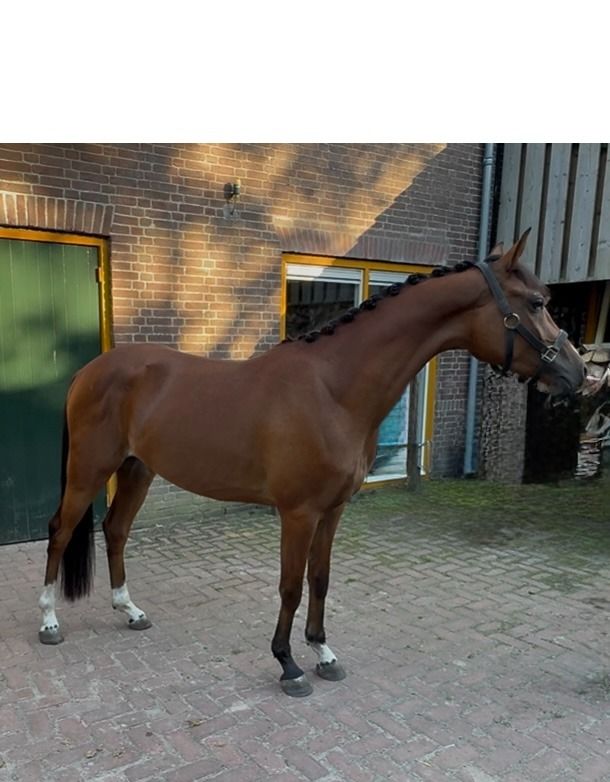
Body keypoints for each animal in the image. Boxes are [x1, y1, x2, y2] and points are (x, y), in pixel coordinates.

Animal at [38, 230, 586, 697]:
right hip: (89, 469)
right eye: (537, 303)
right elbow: (291, 586)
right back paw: (48, 622)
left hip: (137, 469)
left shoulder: (334, 509)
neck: (333, 389)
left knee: (115, 530)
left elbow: (320, 580)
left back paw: (129, 610)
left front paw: (323, 652)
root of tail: (89, 371)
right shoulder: (297, 513)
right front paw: (288, 664)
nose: (578, 373)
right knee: (61, 530)